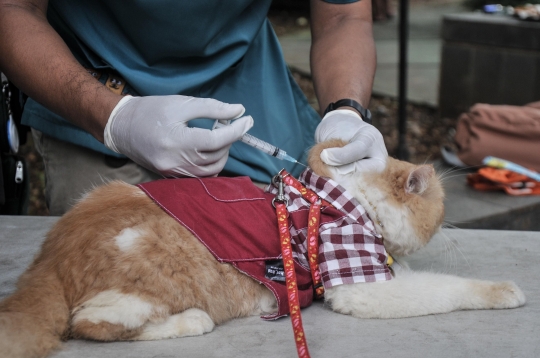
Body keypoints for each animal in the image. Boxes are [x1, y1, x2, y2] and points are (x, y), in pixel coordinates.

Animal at [0, 141, 524, 358]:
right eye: (440, 207)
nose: (448, 225)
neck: (339, 199)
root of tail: (47, 259)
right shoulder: (360, 285)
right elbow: (448, 288)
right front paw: (505, 290)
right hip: (155, 279)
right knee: (92, 323)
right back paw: (191, 321)